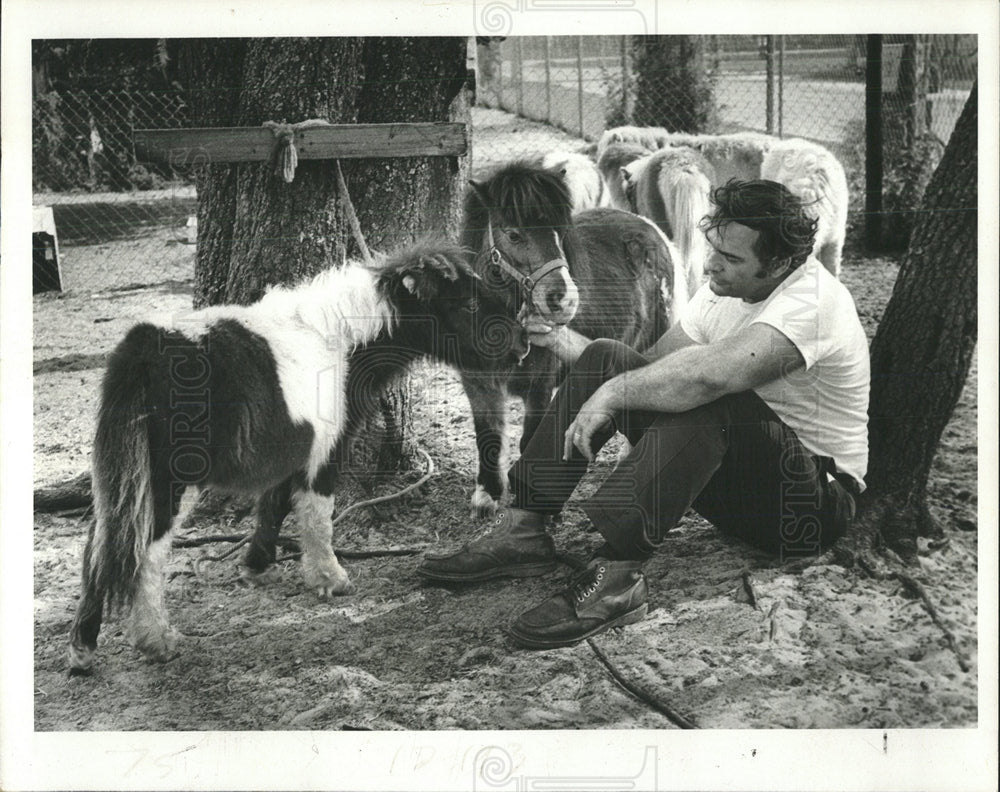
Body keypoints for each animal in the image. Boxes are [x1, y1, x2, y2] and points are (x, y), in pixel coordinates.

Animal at [68, 241, 532, 676]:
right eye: (469, 304)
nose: (523, 346)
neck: (339, 341)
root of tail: (142, 351)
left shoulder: (290, 449)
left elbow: (273, 506)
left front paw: (256, 566)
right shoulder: (325, 451)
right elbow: (316, 515)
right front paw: (330, 579)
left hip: (121, 481)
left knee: (99, 546)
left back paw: (83, 650)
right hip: (168, 481)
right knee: (143, 553)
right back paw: (155, 640)